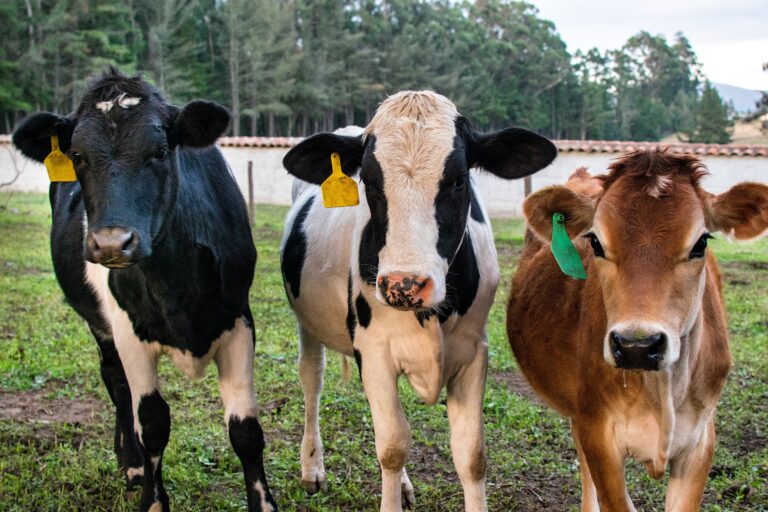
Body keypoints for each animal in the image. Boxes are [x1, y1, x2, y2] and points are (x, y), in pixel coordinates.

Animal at [12, 68, 277, 512]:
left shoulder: (239, 319)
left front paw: (264, 503)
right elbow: (151, 423)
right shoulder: (128, 332)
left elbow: (246, 430)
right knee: (115, 382)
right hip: (100, 325)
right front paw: (153, 499)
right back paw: (133, 465)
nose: (111, 244)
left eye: (159, 151)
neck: (178, 288)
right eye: (78, 156)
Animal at [279, 91, 557, 511]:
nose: (404, 284)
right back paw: (312, 468)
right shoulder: (374, 352)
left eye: (459, 180)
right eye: (369, 181)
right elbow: (392, 447)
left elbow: (471, 455)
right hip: (307, 324)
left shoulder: (474, 352)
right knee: (312, 377)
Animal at [507, 150, 768, 511]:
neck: (662, 393)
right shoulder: (599, 432)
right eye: (595, 242)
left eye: (701, 242)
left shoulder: (701, 439)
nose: (637, 345)